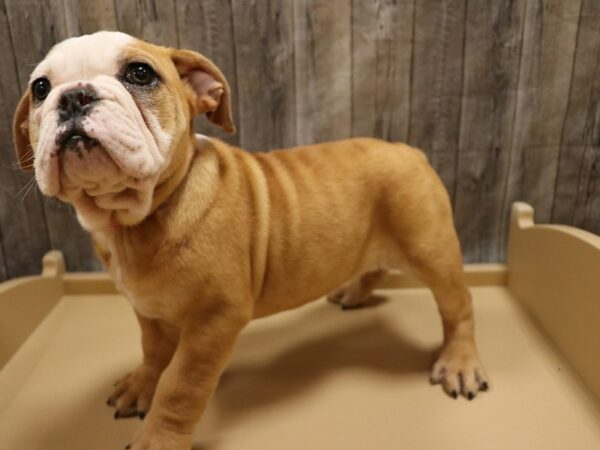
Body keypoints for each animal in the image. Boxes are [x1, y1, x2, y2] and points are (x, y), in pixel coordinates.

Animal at [14, 31, 490, 450]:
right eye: (40, 88)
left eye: (140, 73)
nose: (73, 96)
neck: (137, 219)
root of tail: (409, 150)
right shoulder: (147, 310)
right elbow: (153, 351)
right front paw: (142, 384)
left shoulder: (214, 322)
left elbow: (180, 387)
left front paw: (158, 438)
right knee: (374, 266)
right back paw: (354, 292)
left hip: (430, 250)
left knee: (459, 305)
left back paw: (459, 363)